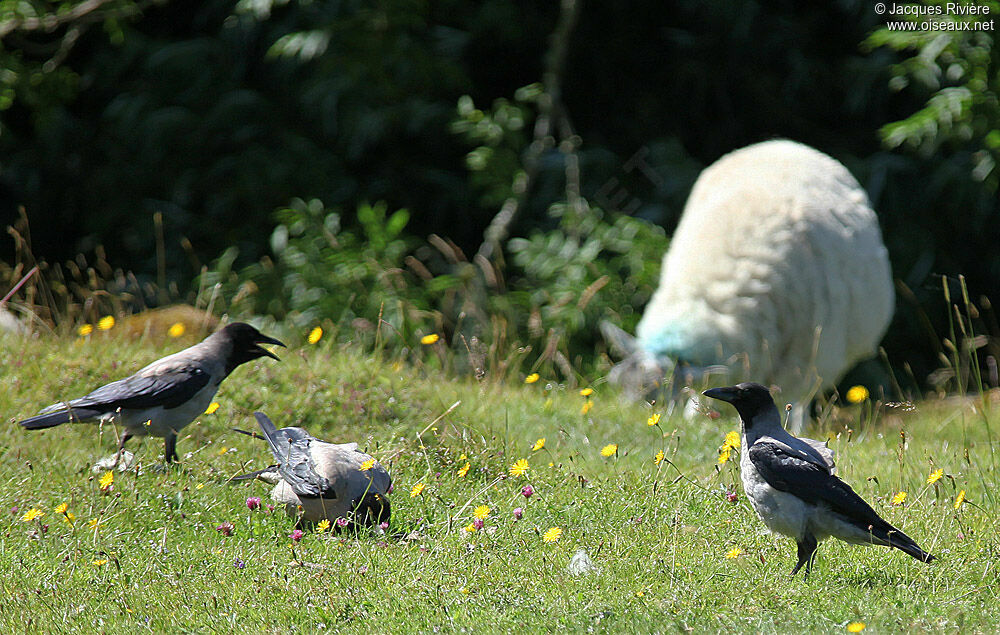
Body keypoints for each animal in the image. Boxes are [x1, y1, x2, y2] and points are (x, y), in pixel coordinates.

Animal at [604, 140, 896, 432]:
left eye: (658, 389)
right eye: (616, 383)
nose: (628, 421)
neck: (713, 298)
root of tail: (784, 144)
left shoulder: (806, 357)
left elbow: (794, 401)